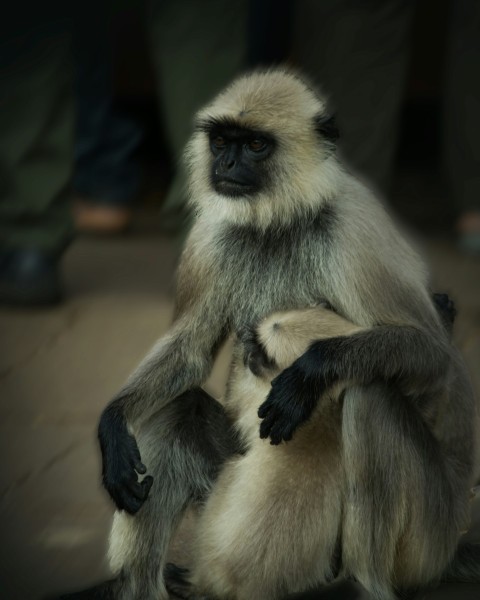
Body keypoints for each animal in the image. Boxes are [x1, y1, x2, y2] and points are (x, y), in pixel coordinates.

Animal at [62, 69, 476, 600]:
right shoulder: (210, 235)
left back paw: (362, 583)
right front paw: (113, 426)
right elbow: (191, 353)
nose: (226, 163)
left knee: (372, 396)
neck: (280, 219)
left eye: (255, 145)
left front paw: (309, 374)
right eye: (222, 141)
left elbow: (434, 353)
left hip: (427, 537)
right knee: (178, 405)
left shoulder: (353, 228)